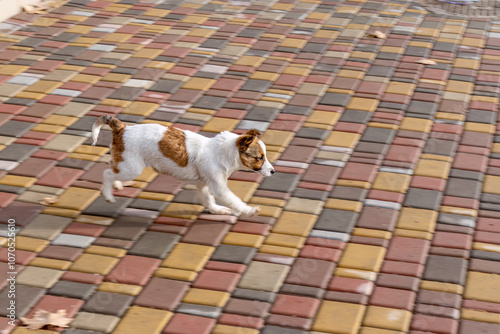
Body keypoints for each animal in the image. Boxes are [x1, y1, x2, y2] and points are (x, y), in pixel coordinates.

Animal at [92, 116, 276, 218]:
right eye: (260, 157)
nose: (273, 171)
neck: (222, 151)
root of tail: (122, 128)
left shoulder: (203, 184)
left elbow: (208, 200)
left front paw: (216, 210)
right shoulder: (218, 187)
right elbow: (234, 200)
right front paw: (250, 211)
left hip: (124, 163)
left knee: (112, 166)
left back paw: (116, 185)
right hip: (132, 168)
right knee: (107, 173)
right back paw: (108, 195)